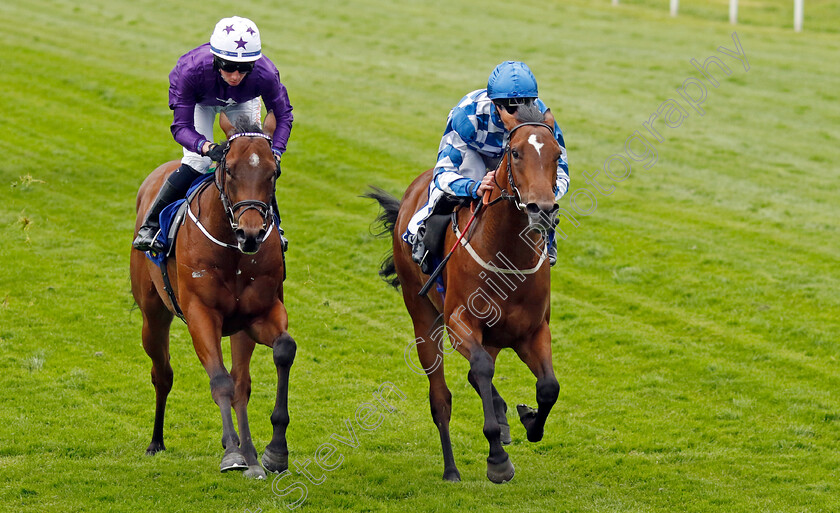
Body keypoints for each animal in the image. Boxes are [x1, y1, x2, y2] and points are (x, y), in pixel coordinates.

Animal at [126, 112, 294, 480]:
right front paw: (232, 453)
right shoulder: (201, 315)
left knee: (242, 384)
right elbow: (220, 381)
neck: (232, 251)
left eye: (273, 172)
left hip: (240, 330)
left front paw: (274, 451)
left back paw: (252, 456)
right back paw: (156, 442)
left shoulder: (260, 314)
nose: (251, 233)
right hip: (152, 316)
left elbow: (282, 351)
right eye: (229, 169)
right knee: (162, 374)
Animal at [364, 105, 560, 484]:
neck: (507, 254)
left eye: (557, 154)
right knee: (441, 399)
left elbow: (548, 387)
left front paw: (529, 420)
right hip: (423, 316)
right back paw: (451, 469)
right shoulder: (460, 324)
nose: (542, 209)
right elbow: (481, 369)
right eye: (516, 153)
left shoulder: (532, 330)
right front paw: (497, 459)